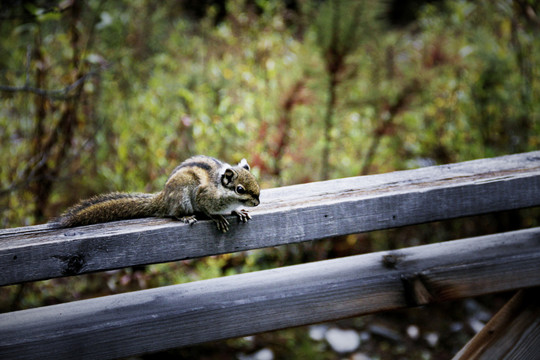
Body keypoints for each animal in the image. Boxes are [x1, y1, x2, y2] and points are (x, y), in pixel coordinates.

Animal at [49, 156, 260, 232]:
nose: (257, 202)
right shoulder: (203, 197)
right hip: (182, 197)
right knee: (174, 213)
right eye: (240, 189)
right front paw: (218, 218)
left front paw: (238, 212)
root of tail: (163, 199)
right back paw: (185, 217)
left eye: (255, 181)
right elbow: (207, 210)